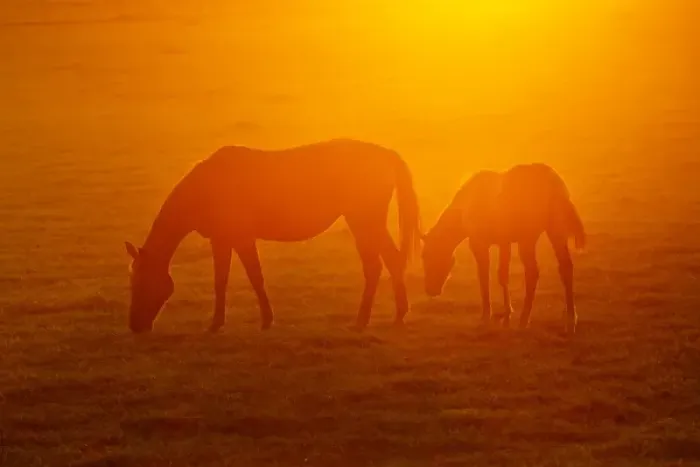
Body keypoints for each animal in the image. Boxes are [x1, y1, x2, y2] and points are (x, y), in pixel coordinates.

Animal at [124, 139, 421, 333]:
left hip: (363, 221)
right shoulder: (222, 240)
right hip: (369, 223)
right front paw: (221, 321)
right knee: (392, 261)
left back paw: (364, 321)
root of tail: (386, 155)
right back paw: (397, 315)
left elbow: (252, 277)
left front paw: (261, 320)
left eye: (141, 283)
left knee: (376, 266)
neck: (206, 188)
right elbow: (224, 281)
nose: (135, 326)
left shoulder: (240, 239)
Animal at [420, 163, 585, 335]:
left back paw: (524, 320)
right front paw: (506, 315)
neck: (467, 202)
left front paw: (487, 316)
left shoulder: (479, 244)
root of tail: (553, 183)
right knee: (566, 268)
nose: (430, 290)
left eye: (425, 255)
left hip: (528, 240)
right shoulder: (504, 243)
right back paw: (570, 321)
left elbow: (484, 277)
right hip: (555, 232)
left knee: (533, 272)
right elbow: (503, 276)